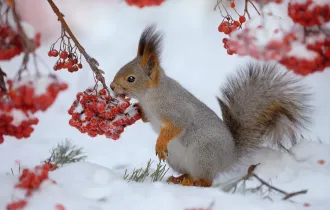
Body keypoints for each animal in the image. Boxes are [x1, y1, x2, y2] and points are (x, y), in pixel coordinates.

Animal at [111, 25, 312, 188]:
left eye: (131, 78)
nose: (112, 87)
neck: (150, 96)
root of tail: (229, 157)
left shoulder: (176, 110)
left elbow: (176, 126)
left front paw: (160, 142)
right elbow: (147, 117)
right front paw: (136, 110)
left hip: (202, 154)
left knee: (207, 181)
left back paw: (193, 182)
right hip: (177, 159)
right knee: (191, 173)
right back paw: (180, 179)